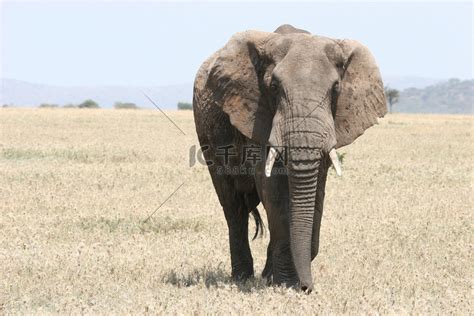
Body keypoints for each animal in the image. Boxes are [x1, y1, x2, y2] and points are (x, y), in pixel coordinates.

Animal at [193, 23, 388, 292]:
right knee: (233, 205)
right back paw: (242, 277)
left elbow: (316, 193)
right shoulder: (257, 116)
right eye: (274, 87)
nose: (308, 288)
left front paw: (277, 278)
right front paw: (284, 283)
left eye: (336, 89)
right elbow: (273, 190)